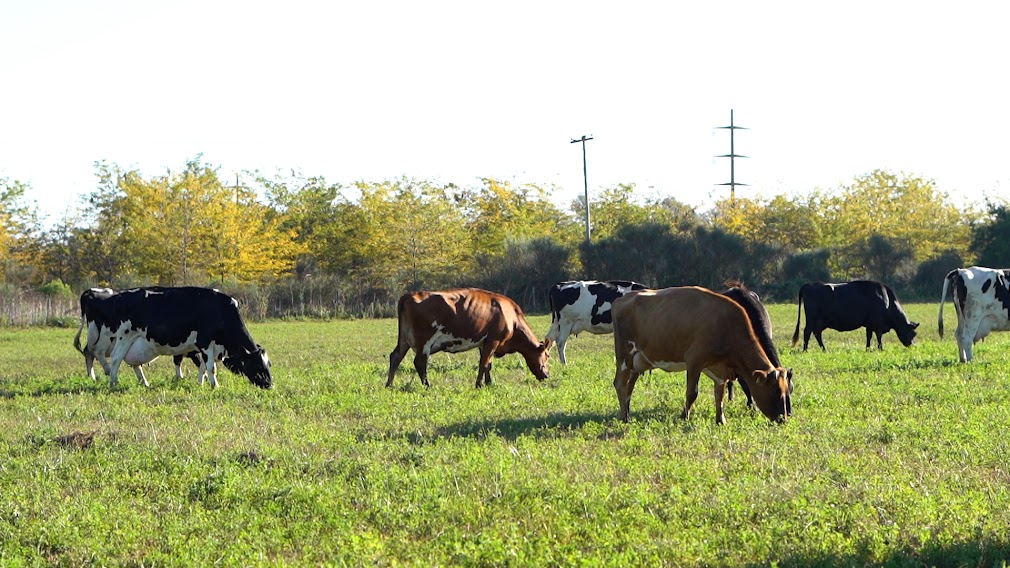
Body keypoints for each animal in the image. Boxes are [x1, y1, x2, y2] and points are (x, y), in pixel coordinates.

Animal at [83, 285, 272, 386]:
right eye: (257, 365)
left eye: (268, 364)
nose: (270, 385)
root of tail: (120, 296)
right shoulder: (204, 342)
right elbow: (211, 367)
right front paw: (214, 385)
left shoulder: (204, 347)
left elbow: (203, 366)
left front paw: (200, 383)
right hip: (123, 336)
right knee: (114, 358)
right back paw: (113, 383)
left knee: (134, 363)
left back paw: (144, 383)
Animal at [383, 285, 549, 386]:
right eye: (547, 355)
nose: (547, 375)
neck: (512, 318)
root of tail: (410, 294)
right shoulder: (493, 340)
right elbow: (483, 364)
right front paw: (479, 385)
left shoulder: (484, 343)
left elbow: (488, 364)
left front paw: (489, 383)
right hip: (424, 341)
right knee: (419, 362)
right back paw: (427, 386)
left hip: (404, 339)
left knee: (396, 356)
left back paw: (389, 384)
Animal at [610, 285, 791, 422]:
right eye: (775, 391)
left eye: (787, 389)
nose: (783, 418)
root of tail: (622, 299)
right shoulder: (694, 360)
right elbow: (692, 393)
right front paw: (684, 416)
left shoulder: (720, 369)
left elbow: (720, 395)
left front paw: (721, 420)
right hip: (625, 353)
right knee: (620, 383)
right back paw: (625, 417)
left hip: (638, 360)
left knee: (629, 386)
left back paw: (626, 412)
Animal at [791, 278, 921, 349]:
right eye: (914, 333)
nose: (912, 345)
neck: (887, 301)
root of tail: (809, 284)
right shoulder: (877, 323)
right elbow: (878, 337)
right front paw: (881, 348)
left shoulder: (869, 324)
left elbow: (869, 336)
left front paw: (868, 349)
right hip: (812, 319)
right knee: (807, 332)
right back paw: (805, 349)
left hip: (820, 322)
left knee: (817, 333)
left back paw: (824, 349)